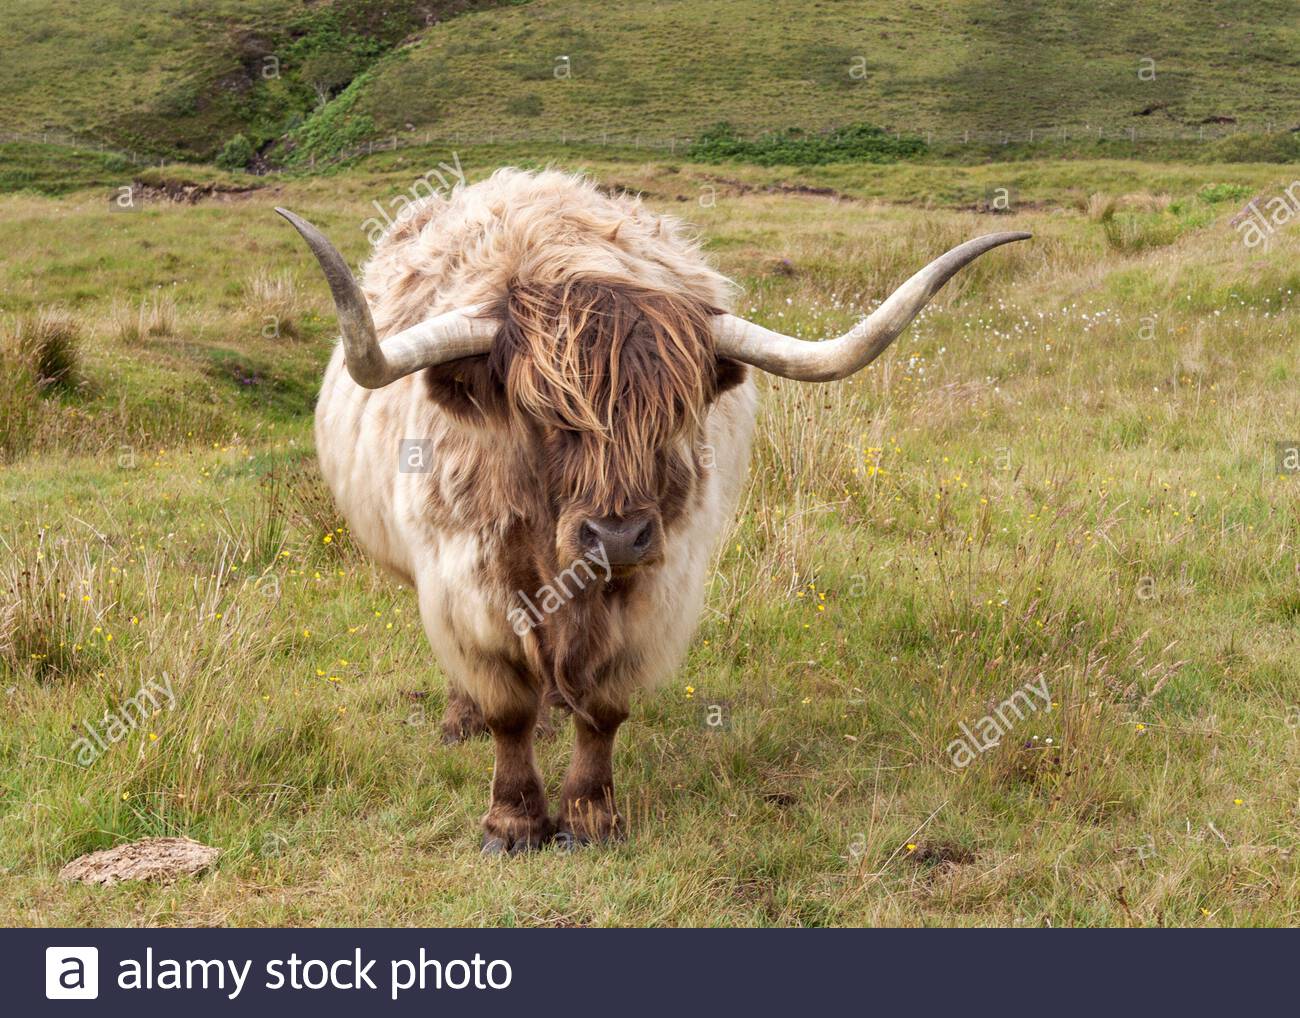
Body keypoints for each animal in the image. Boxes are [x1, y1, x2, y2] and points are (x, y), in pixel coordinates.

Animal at [277, 168, 1027, 853]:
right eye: (543, 416)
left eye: (672, 415)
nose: (616, 536)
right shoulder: (468, 583)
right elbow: (506, 708)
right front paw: (512, 822)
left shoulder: (657, 589)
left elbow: (605, 710)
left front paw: (589, 818)